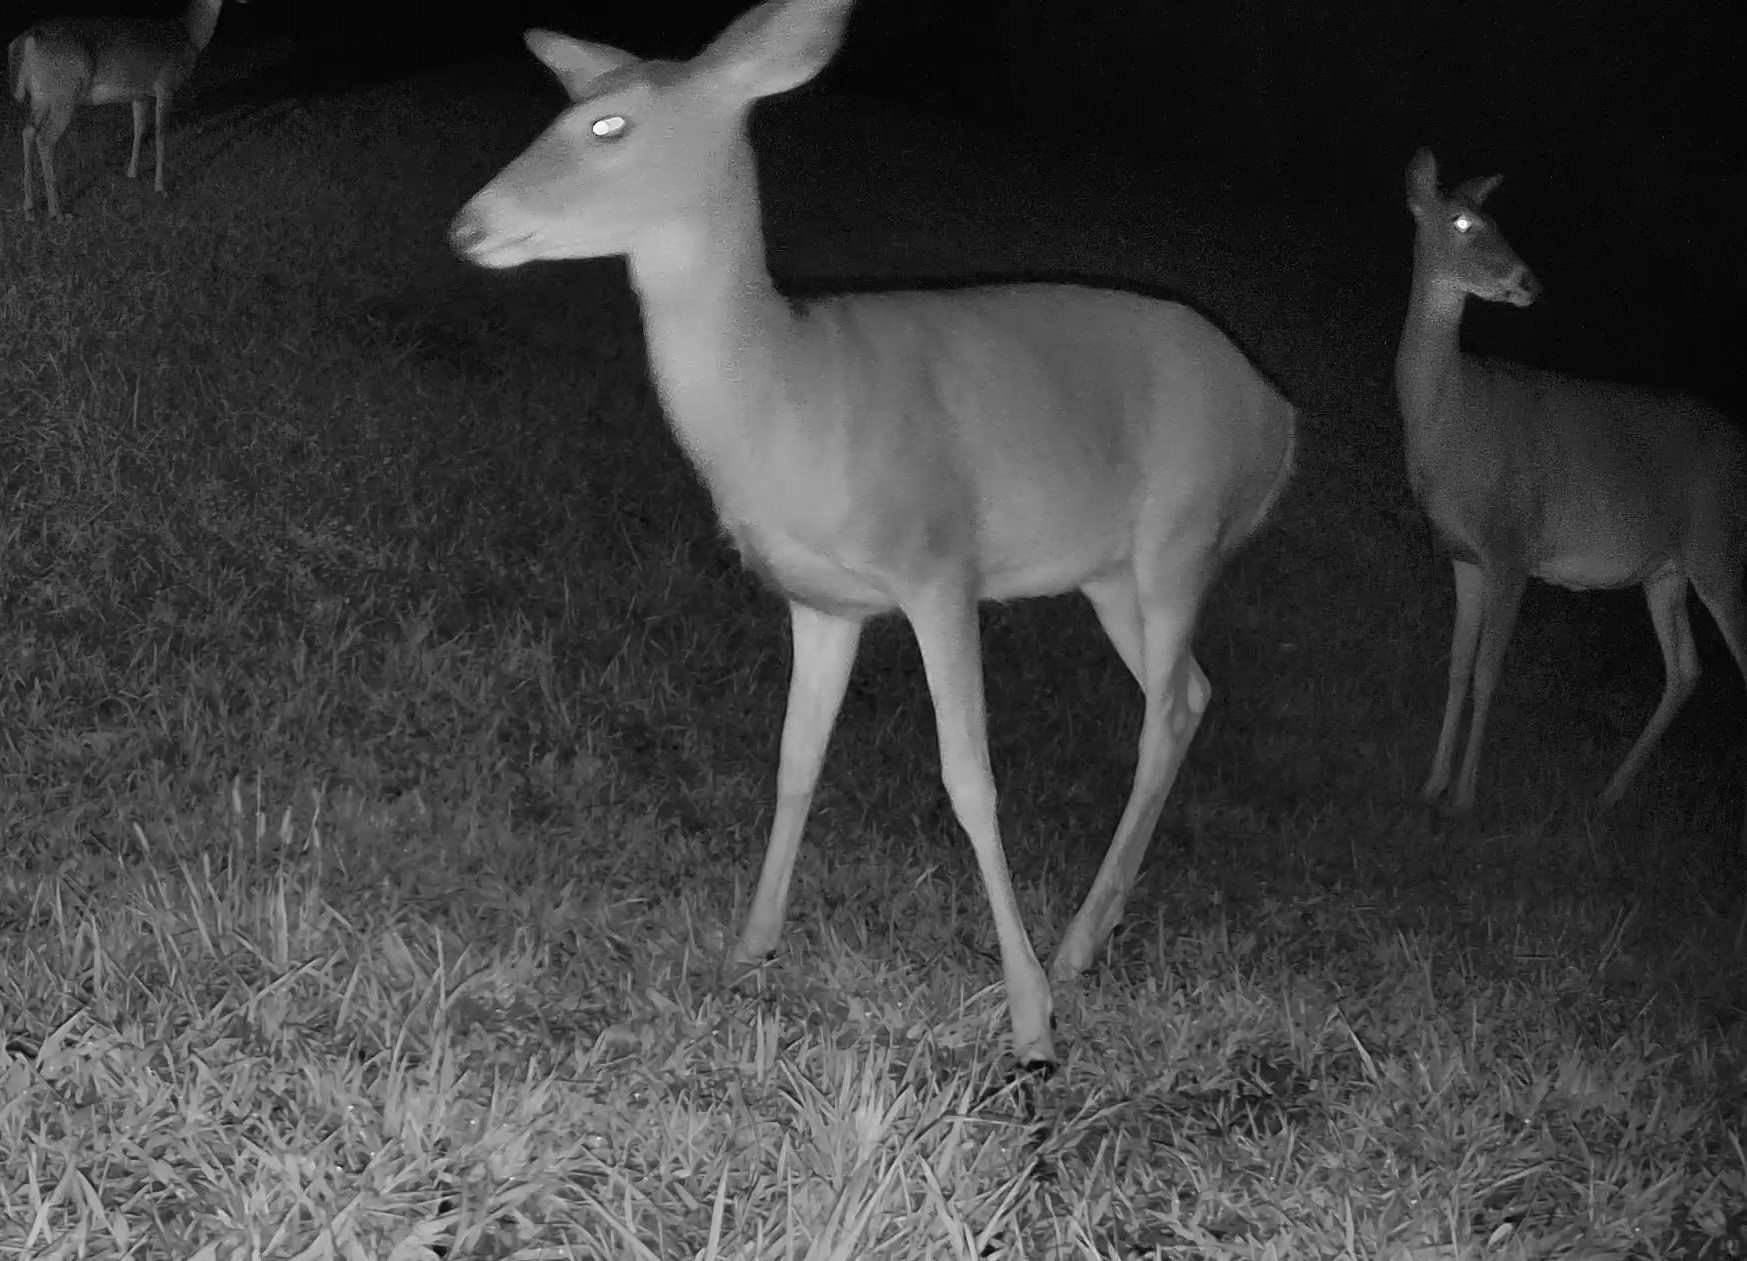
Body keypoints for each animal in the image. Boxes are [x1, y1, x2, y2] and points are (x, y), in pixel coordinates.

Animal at [9, 0, 237, 218]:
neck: (189, 36)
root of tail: (28, 39)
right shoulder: (165, 85)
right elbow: (161, 136)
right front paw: (161, 188)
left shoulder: (140, 94)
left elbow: (139, 130)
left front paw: (132, 173)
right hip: (65, 92)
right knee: (45, 139)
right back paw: (57, 211)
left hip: (40, 97)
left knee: (28, 131)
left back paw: (29, 206)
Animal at [448, 0, 1297, 1067]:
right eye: (567, 106)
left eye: (608, 125)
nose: (466, 224)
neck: (790, 390)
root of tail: (1281, 418)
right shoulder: (821, 601)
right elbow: (793, 759)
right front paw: (749, 946)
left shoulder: (938, 563)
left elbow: (968, 777)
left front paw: (1028, 1021)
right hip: (1109, 574)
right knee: (1188, 691)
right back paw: (1091, 936)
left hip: (1183, 534)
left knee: (1163, 717)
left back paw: (1067, 951)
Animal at [1398, 147, 1747, 839]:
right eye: (1462, 223)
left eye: (1494, 220)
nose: (1530, 281)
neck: (1449, 422)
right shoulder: (1463, 556)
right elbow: (1456, 668)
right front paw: (1429, 786)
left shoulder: (1513, 544)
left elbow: (1488, 673)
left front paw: (1464, 799)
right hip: (1666, 571)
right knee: (1685, 668)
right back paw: (1607, 797)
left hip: (1721, 550)